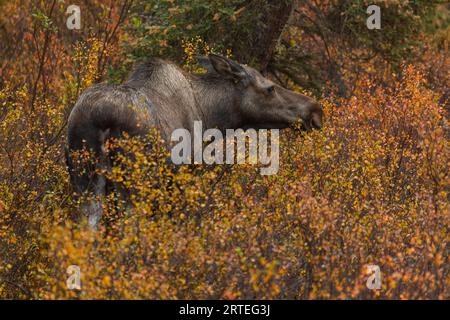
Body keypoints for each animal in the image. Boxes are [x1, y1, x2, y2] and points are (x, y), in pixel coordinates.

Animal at [65, 53, 322, 228]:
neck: (210, 116)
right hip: (136, 183)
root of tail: (99, 118)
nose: (315, 110)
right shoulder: (182, 178)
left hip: (85, 179)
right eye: (269, 88)